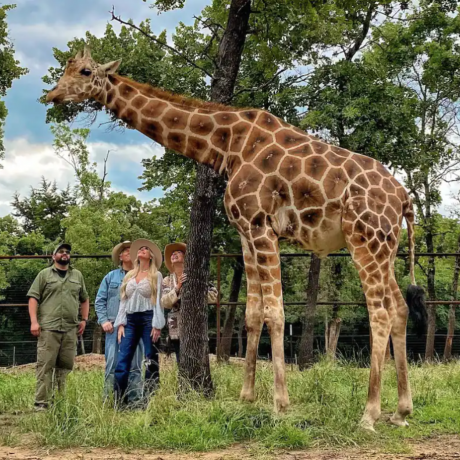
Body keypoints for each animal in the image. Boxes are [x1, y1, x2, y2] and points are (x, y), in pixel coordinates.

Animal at [46, 47, 428, 432]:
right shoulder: (246, 232)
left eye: (85, 71)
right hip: (386, 246)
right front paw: (247, 398)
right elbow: (253, 312)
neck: (226, 145)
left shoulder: (262, 227)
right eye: (65, 68)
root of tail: (404, 199)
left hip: (365, 240)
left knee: (379, 312)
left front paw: (281, 405)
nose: (52, 95)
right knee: (399, 307)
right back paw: (402, 410)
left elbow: (276, 312)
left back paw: (369, 414)